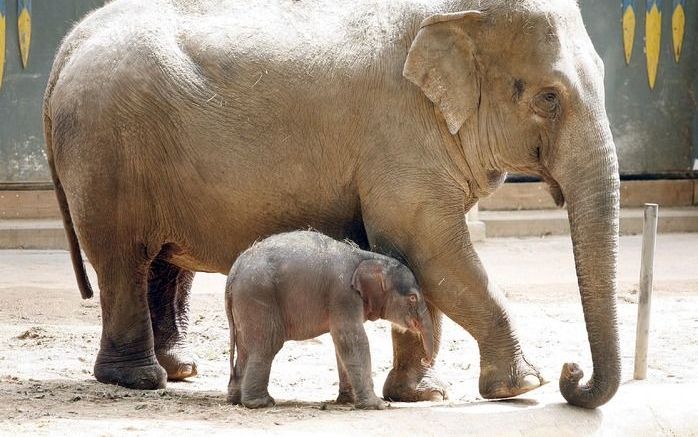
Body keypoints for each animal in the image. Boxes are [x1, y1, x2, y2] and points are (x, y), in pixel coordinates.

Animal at [223, 232, 432, 408]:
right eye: (413, 298)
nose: (425, 359)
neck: (366, 256)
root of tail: (234, 272)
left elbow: (341, 344)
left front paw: (349, 401)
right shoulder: (343, 295)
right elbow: (352, 339)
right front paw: (377, 405)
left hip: (246, 304)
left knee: (245, 348)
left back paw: (236, 400)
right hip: (258, 296)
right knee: (267, 344)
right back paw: (262, 403)